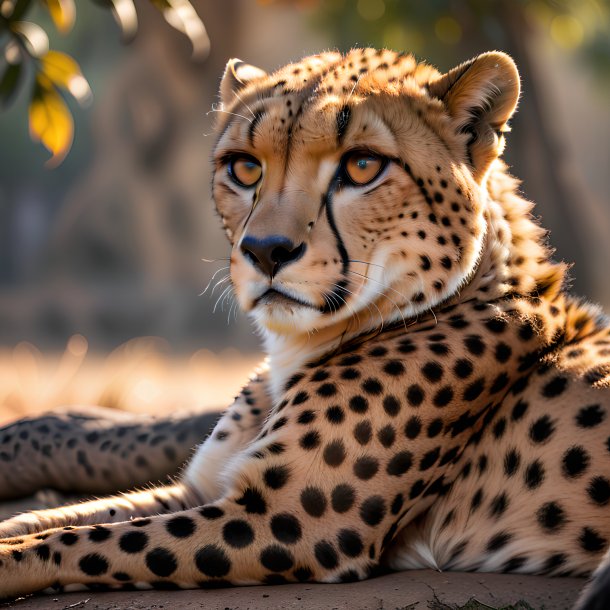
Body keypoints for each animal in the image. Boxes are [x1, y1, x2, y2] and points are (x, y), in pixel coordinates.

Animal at [1, 47, 608, 604]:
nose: (266, 251)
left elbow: (77, 539)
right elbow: (59, 518)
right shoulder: (204, 488)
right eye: (245, 167)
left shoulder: (283, 519)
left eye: (363, 166)